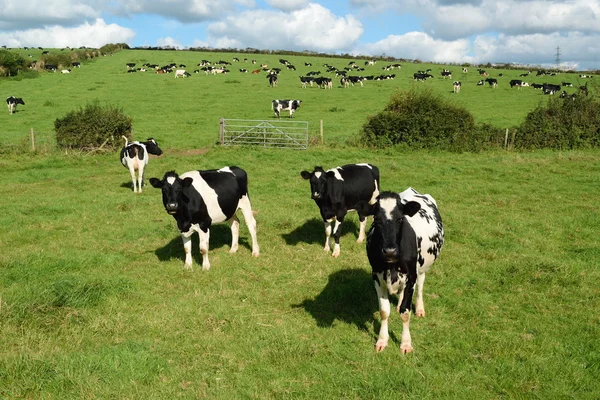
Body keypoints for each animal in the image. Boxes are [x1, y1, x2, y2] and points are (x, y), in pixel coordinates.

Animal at [358, 188, 442, 354]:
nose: (390, 251)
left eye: (400, 219)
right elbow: (384, 311)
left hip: (422, 268)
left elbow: (405, 312)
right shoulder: (376, 276)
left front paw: (406, 343)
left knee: (420, 286)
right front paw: (382, 340)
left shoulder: (411, 277)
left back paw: (420, 308)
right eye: (376, 219)